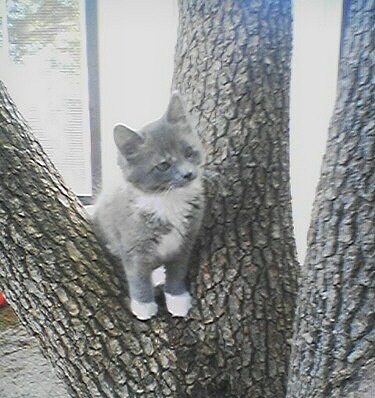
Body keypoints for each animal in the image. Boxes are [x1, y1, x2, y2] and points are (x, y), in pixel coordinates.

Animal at [93, 93, 206, 320]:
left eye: (189, 152)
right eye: (163, 165)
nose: (188, 174)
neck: (169, 199)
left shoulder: (185, 242)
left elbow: (177, 270)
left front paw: (177, 298)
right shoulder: (134, 244)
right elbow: (138, 275)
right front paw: (143, 306)